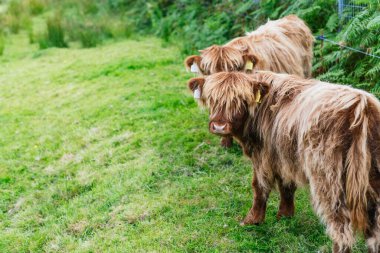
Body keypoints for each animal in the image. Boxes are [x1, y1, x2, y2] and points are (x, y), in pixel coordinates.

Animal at [187, 71, 380, 253]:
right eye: (212, 98)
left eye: (240, 100)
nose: (219, 126)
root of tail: (361, 107)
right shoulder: (284, 158)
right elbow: (286, 187)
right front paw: (285, 216)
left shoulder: (263, 156)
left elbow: (259, 187)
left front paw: (252, 220)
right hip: (370, 181)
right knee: (374, 231)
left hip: (329, 181)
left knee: (341, 229)